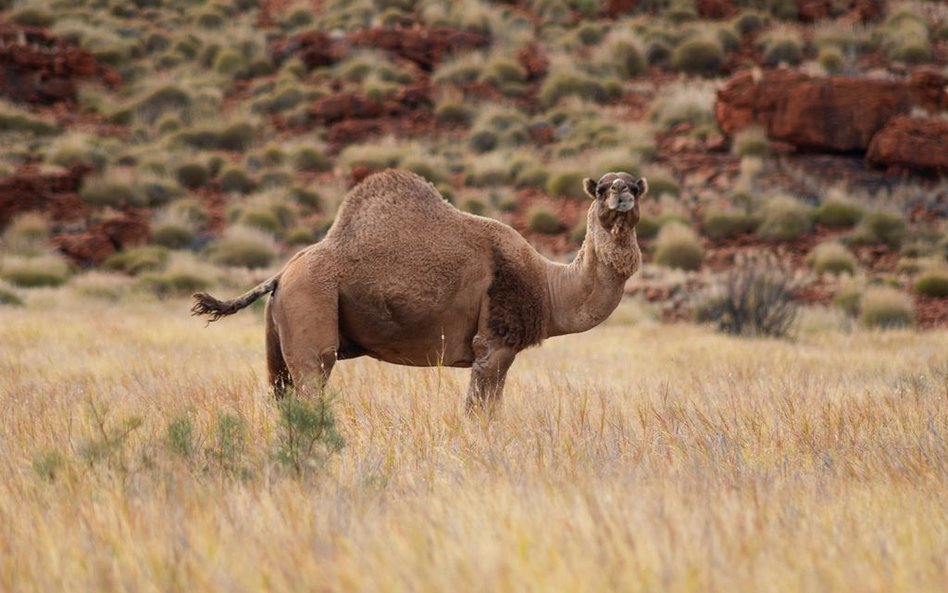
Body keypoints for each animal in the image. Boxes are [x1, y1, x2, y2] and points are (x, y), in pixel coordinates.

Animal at [195, 169, 648, 412]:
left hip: (277, 337)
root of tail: (282, 274)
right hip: (312, 308)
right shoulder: (494, 346)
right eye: (602, 188)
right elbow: (480, 413)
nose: (621, 195)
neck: (549, 286)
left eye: (635, 187)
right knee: (311, 386)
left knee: (280, 393)